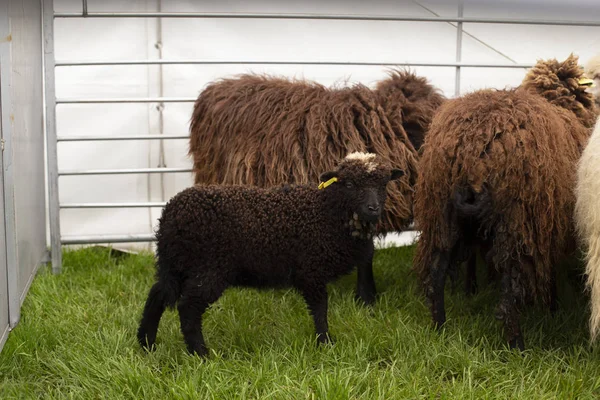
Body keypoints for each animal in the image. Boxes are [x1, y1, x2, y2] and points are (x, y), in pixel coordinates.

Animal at [137, 152, 404, 356]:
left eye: (383, 184)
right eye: (349, 184)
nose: (373, 208)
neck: (327, 209)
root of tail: (170, 213)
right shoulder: (311, 269)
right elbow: (320, 309)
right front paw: (325, 343)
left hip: (175, 265)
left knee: (157, 294)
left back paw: (147, 344)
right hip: (209, 268)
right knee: (188, 307)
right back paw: (201, 354)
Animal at [412, 55, 596, 350]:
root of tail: (472, 149)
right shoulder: (547, 225)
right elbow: (550, 272)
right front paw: (553, 306)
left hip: (442, 216)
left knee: (437, 274)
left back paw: (439, 325)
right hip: (517, 220)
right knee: (510, 290)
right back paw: (517, 344)